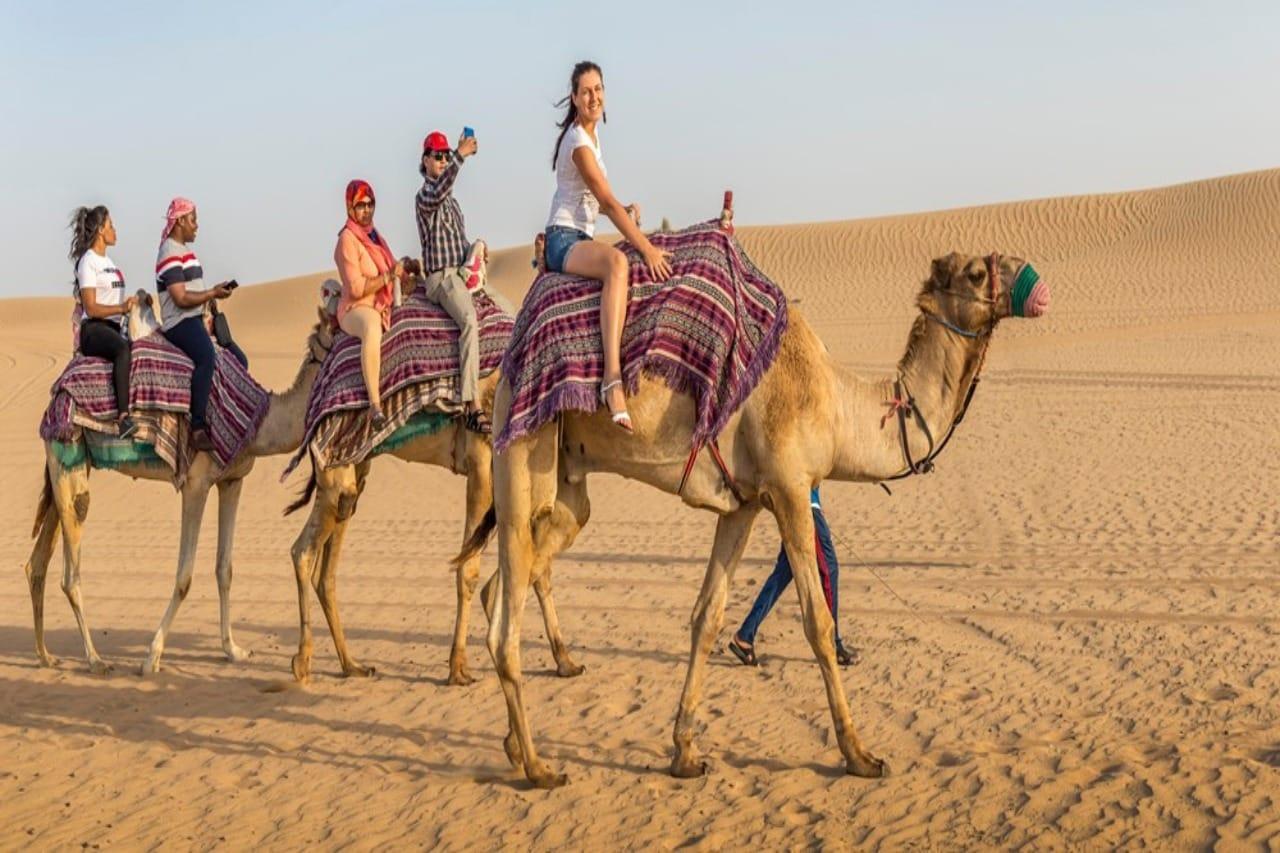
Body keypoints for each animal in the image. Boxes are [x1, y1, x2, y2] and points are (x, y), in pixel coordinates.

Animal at [24, 296, 335, 675]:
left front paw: (234, 650)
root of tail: (56, 394)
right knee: (71, 571)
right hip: (67, 455)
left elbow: (225, 568)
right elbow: (184, 576)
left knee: (38, 562)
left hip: (68, 466)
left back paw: (46, 656)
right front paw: (151, 657)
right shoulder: (196, 484)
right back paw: (95, 659)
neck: (258, 422)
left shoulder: (232, 481)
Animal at [284, 368, 584, 686]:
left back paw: (351, 665)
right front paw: (458, 668)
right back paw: (303, 662)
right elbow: (469, 570)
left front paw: (565, 661)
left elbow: (539, 567)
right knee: (303, 551)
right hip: (333, 470)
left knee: (326, 568)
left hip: (355, 468)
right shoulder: (482, 462)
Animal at [456, 252, 1050, 787]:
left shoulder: (741, 506)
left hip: (566, 485)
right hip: (520, 452)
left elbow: (707, 617)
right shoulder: (790, 487)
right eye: (977, 272)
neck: (838, 402)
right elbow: (817, 621)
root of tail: (503, 373)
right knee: (504, 623)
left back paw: (513, 743)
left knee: (510, 581)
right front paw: (859, 755)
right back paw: (537, 766)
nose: (1037, 283)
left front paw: (685, 753)